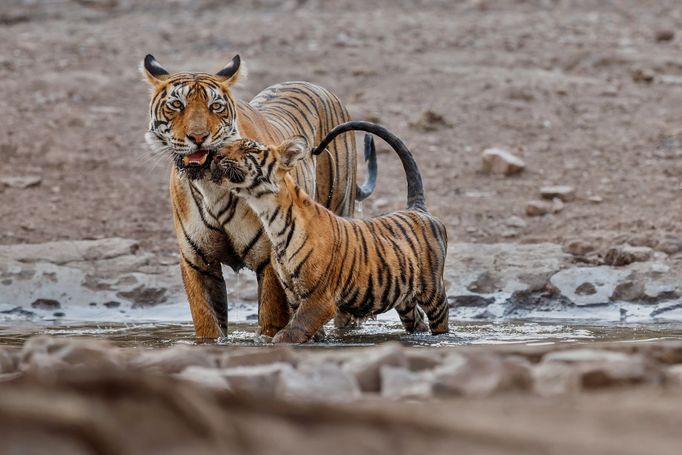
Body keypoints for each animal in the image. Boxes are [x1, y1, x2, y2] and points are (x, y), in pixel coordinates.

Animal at [142, 54, 378, 338]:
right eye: (177, 104)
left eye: (216, 106)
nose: (198, 137)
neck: (212, 183)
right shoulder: (197, 261)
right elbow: (207, 325)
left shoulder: (269, 259)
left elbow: (269, 320)